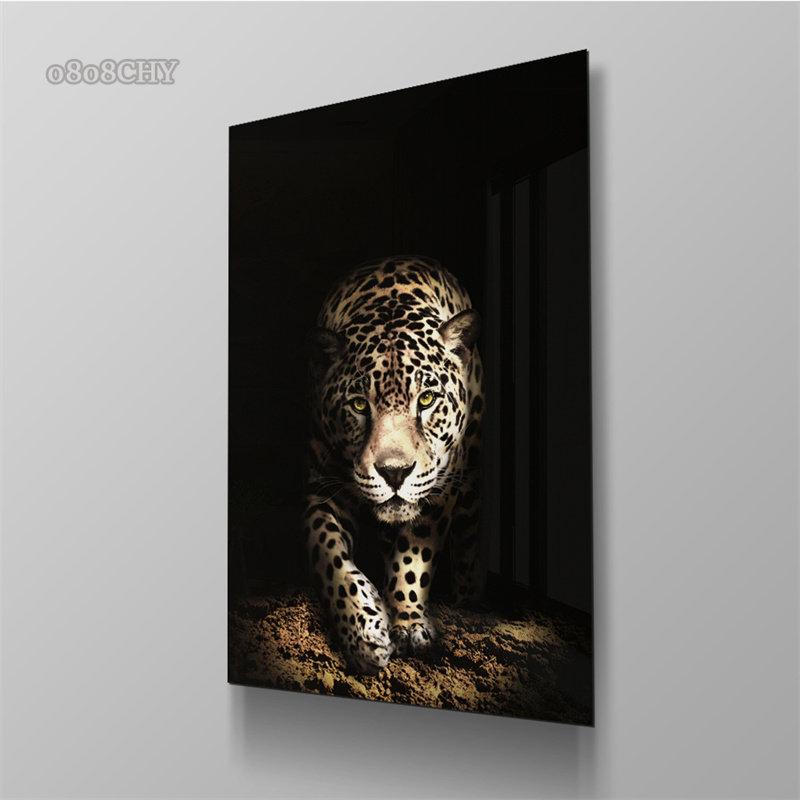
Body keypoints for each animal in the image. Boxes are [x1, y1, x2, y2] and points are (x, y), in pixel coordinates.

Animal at [304, 256, 484, 674]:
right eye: (358, 405)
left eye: (427, 399)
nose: (395, 473)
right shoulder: (322, 486)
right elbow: (327, 551)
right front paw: (363, 631)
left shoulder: (439, 488)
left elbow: (414, 555)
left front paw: (408, 623)